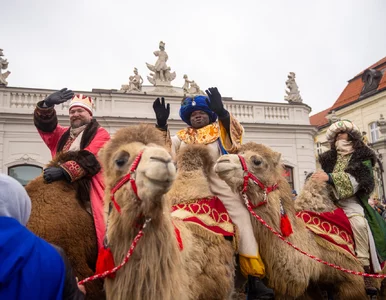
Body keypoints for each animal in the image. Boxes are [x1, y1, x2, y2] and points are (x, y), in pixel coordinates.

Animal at [214, 142, 382, 300]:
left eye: (257, 161)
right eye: (239, 152)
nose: (222, 161)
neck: (313, 248)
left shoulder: (351, 280)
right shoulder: (308, 287)